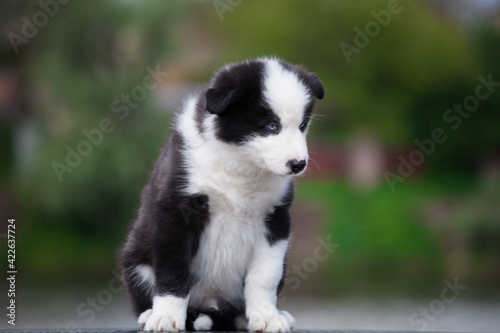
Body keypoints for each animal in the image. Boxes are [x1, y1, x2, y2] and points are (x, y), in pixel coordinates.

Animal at [121, 57, 324, 332]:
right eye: (271, 126)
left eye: (302, 126)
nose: (298, 164)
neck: (240, 164)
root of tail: (211, 304)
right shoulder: (174, 212)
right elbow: (173, 270)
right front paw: (167, 317)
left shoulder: (276, 218)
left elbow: (264, 276)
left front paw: (266, 317)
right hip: (135, 261)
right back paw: (151, 313)